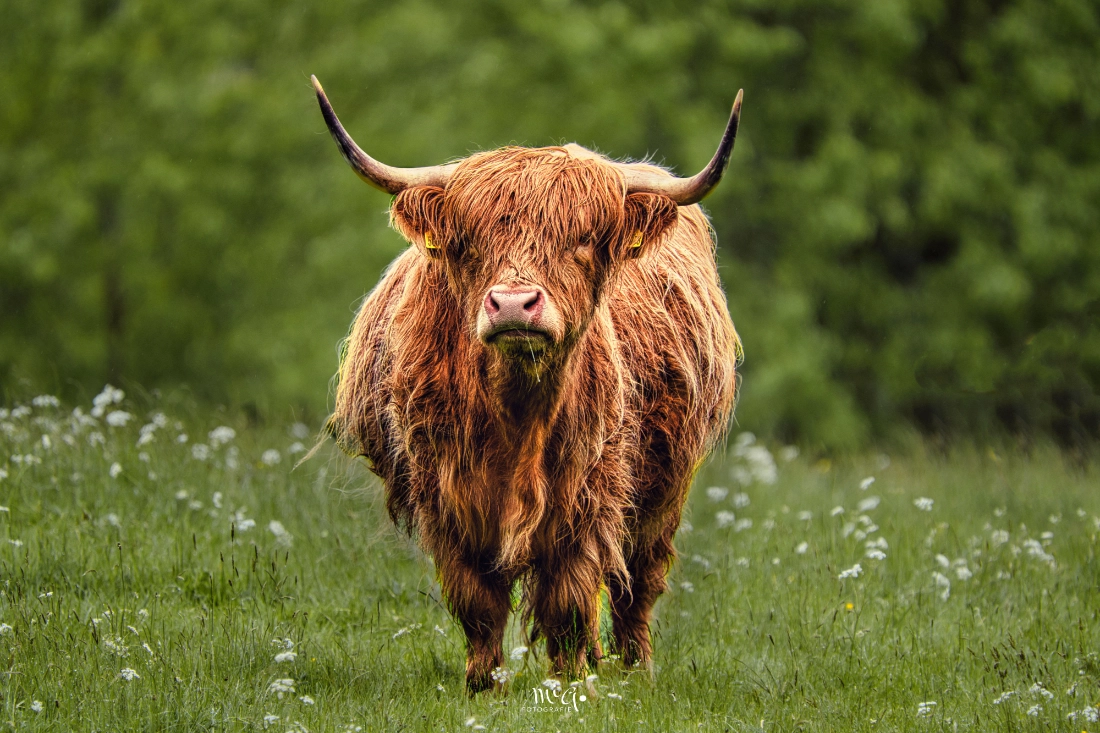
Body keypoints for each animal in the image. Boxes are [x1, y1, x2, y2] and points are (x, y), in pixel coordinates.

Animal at [312, 75, 742, 692]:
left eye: (583, 237)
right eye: (467, 241)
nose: (514, 303)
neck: (515, 411)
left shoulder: (588, 497)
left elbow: (569, 602)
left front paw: (568, 683)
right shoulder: (446, 498)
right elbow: (477, 602)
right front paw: (482, 684)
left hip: (666, 488)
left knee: (638, 582)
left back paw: (636, 668)